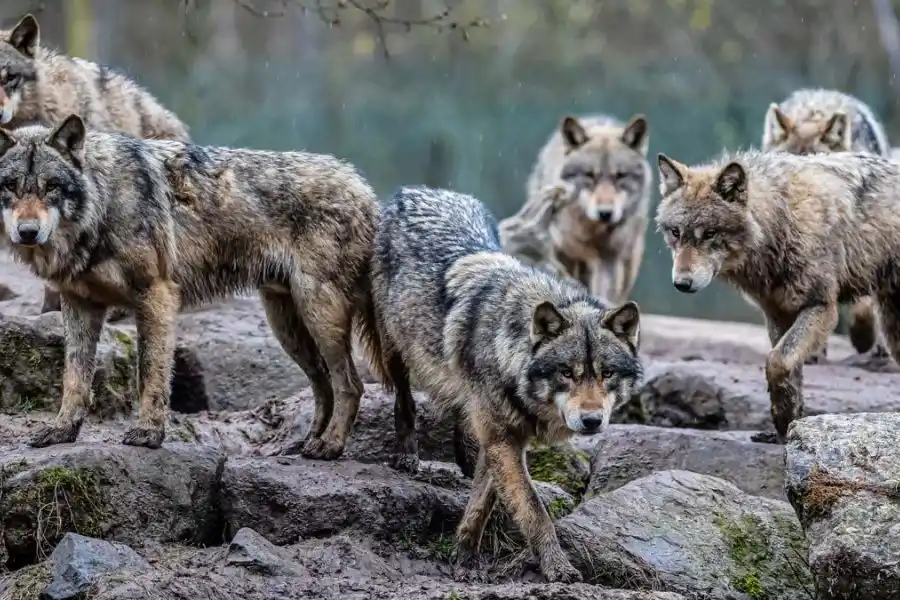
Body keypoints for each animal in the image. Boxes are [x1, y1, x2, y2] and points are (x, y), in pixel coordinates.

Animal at [0, 114, 382, 457]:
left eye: (51, 186)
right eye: (11, 186)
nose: (28, 232)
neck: (103, 203)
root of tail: (364, 188)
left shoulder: (156, 295)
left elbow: (150, 372)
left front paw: (149, 433)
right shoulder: (79, 304)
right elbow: (74, 377)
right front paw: (62, 431)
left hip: (319, 314)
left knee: (350, 384)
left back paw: (329, 447)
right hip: (286, 326)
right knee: (324, 386)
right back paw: (304, 444)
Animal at [370, 185, 643, 583]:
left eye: (606, 373)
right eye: (567, 372)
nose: (592, 421)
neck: (506, 348)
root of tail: (418, 190)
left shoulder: (503, 440)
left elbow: (481, 503)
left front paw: (464, 557)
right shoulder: (503, 440)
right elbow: (534, 510)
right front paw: (557, 567)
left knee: (462, 417)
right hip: (395, 348)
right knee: (404, 399)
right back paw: (407, 454)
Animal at [515, 113, 652, 305]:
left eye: (620, 176)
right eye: (589, 175)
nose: (605, 213)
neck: (590, 231)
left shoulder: (608, 261)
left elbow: (604, 293)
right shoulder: (560, 253)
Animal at [654, 148, 900, 441]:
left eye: (710, 234)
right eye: (676, 232)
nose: (681, 283)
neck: (782, 222)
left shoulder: (820, 307)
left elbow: (778, 360)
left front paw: (784, 420)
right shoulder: (776, 313)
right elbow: (790, 371)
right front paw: (787, 424)